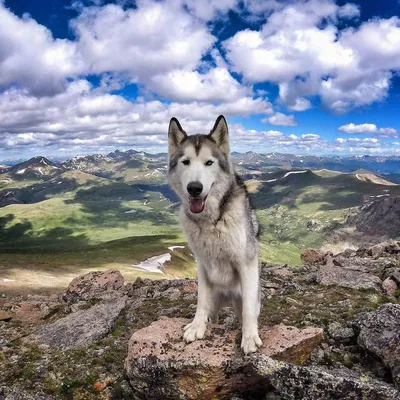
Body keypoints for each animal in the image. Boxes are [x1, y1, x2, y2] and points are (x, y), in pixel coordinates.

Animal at [166, 115, 262, 354]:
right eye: (186, 162)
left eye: (209, 163)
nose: (194, 188)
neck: (210, 221)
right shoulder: (202, 264)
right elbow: (201, 301)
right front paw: (196, 327)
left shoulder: (246, 263)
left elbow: (248, 311)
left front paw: (249, 337)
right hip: (216, 302)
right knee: (213, 313)